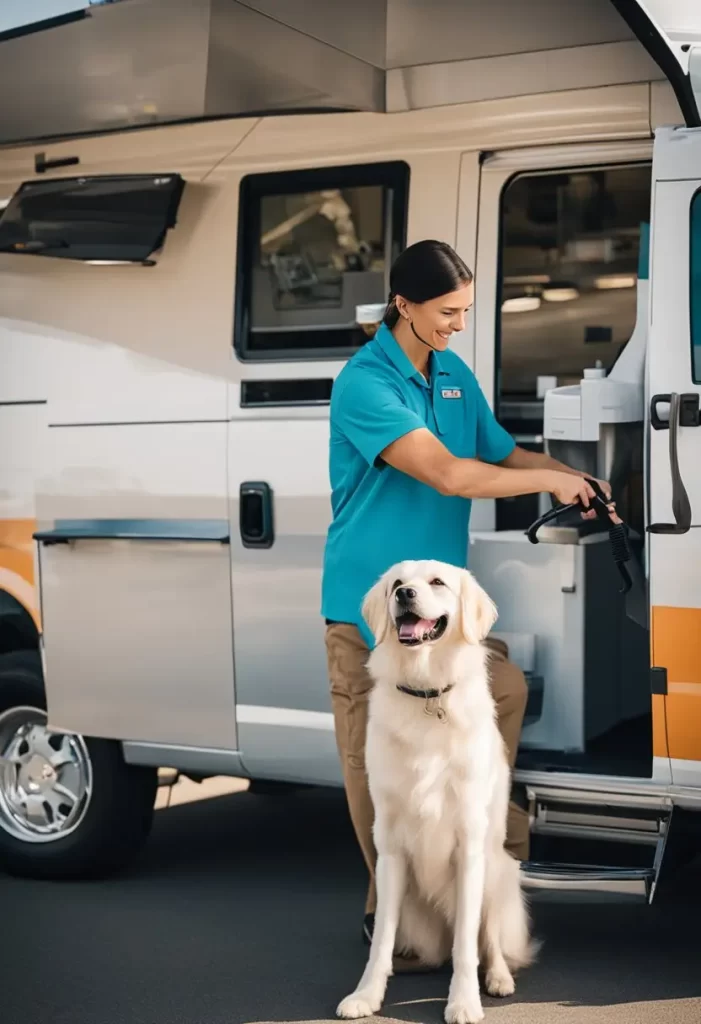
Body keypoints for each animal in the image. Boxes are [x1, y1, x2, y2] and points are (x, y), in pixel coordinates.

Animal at [335, 561, 532, 1024]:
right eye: (395, 583)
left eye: (437, 582)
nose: (404, 594)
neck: (425, 690)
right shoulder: (389, 847)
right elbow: (380, 942)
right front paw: (366, 995)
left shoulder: (470, 844)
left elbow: (467, 946)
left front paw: (463, 1001)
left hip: (497, 868)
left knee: (488, 938)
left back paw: (498, 977)